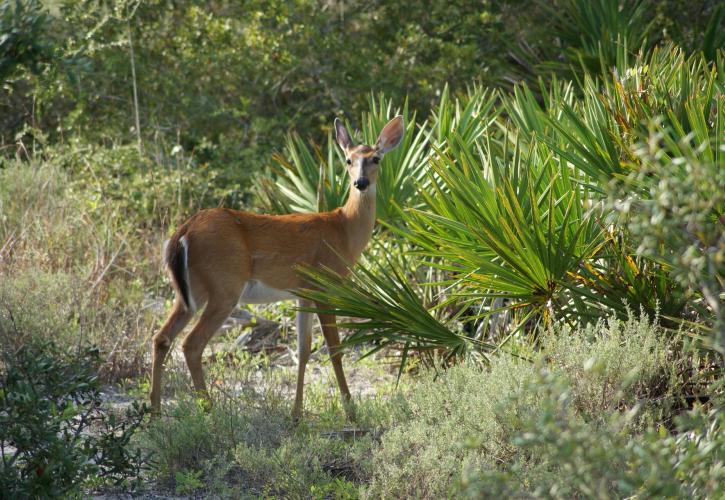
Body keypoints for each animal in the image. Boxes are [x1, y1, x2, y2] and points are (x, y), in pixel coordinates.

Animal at [149, 115, 404, 420]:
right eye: (348, 160)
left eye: (375, 158)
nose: (361, 183)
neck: (344, 229)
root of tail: (183, 232)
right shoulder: (324, 284)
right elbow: (334, 348)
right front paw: (350, 410)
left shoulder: (303, 294)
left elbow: (303, 350)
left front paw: (296, 414)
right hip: (224, 287)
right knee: (191, 344)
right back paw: (209, 410)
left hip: (188, 292)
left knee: (162, 337)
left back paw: (155, 412)